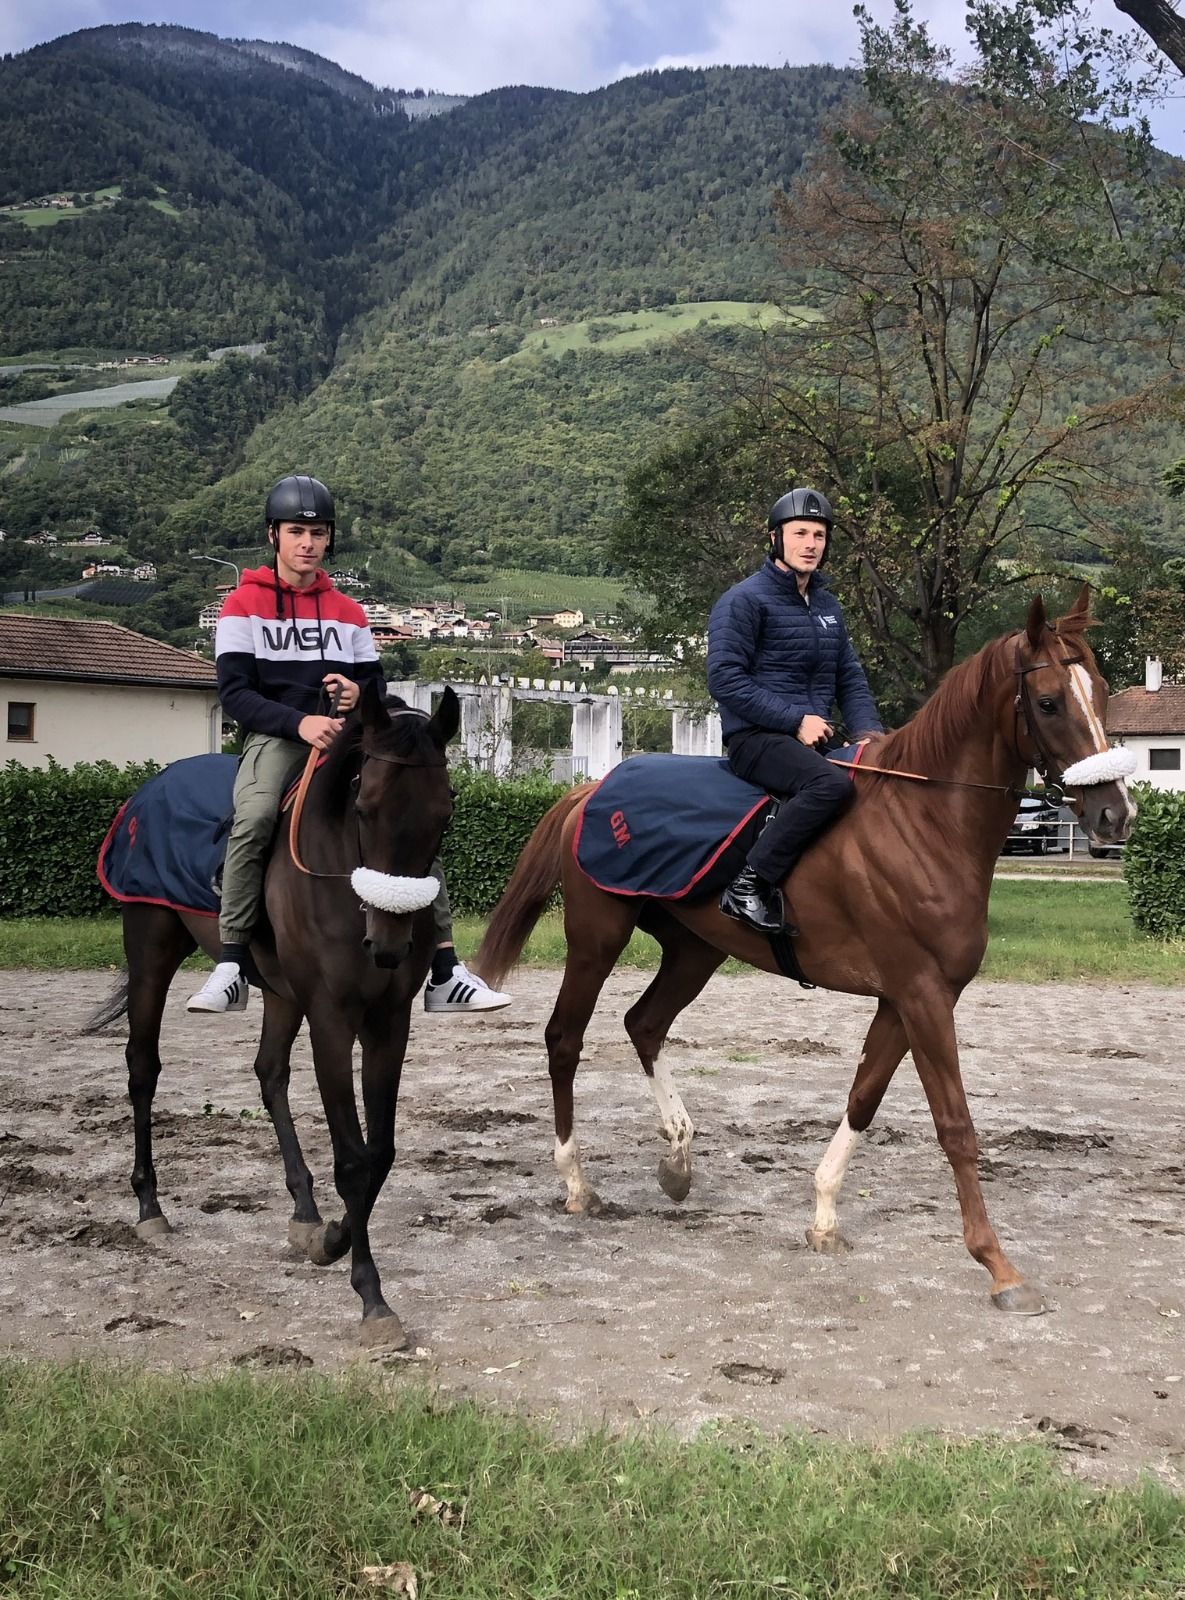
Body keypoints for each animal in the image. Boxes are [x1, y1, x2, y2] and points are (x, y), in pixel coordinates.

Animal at [85, 681, 457, 1344]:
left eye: (444, 813)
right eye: (365, 806)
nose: (389, 946)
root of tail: (150, 790)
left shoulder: (389, 1021)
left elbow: (381, 1153)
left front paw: (331, 1236)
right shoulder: (332, 1019)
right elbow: (353, 1159)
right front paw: (371, 1296)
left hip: (281, 992)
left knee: (269, 1074)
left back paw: (305, 1211)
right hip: (151, 947)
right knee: (142, 1068)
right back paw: (150, 1206)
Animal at [473, 595, 1138, 1318]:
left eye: (1103, 693)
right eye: (1048, 702)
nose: (1114, 815)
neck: (921, 821)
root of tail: (589, 791)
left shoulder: (903, 999)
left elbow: (863, 1098)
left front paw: (823, 1216)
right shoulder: (922, 994)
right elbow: (955, 1124)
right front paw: (998, 1266)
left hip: (694, 951)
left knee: (643, 1024)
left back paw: (677, 1159)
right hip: (597, 939)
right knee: (565, 1039)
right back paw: (576, 1182)